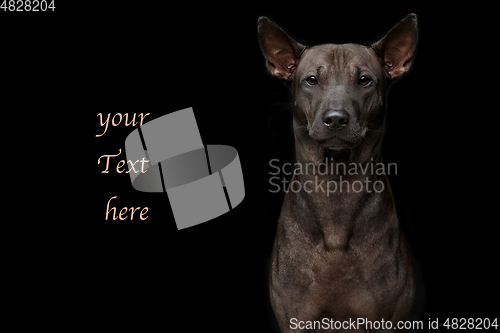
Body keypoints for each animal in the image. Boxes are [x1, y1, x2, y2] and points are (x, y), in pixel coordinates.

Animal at [258, 14, 418, 330]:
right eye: (312, 79)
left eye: (364, 80)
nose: (335, 118)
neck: (336, 186)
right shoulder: (295, 320)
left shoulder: (381, 320)